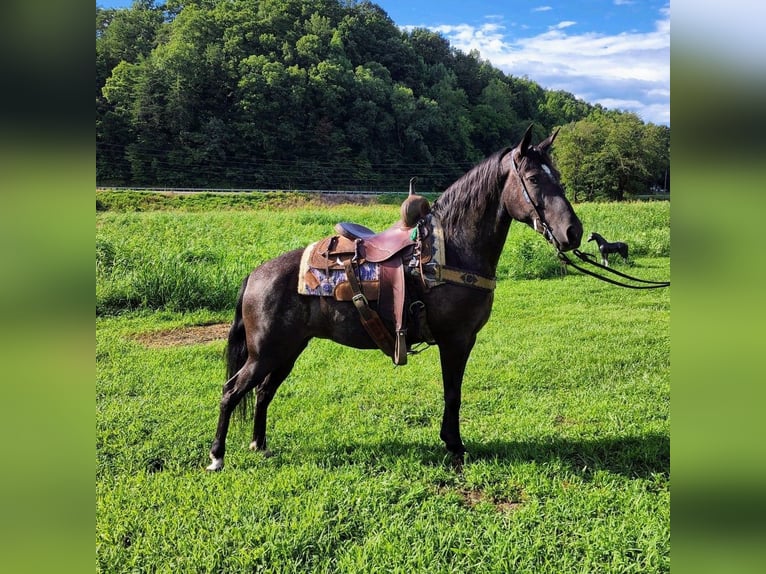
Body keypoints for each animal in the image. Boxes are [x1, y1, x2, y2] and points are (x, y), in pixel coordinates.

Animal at [207, 126, 584, 472]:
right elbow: (453, 393)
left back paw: (260, 445)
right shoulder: (456, 340)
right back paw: (217, 457)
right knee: (231, 391)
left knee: (262, 392)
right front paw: (455, 445)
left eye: (557, 176)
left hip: (287, 351)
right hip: (265, 353)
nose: (573, 232)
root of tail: (255, 275)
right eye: (533, 178)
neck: (451, 250)